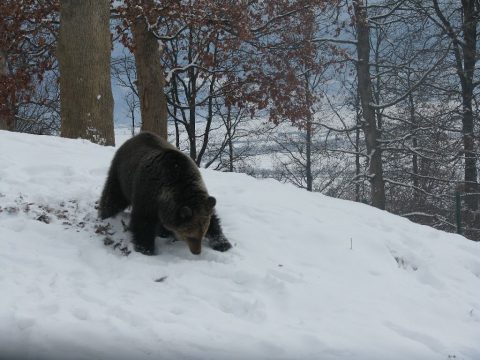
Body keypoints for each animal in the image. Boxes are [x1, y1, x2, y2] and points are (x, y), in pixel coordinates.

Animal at [96, 133, 232, 256]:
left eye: (202, 233)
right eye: (190, 235)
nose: (197, 252)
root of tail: (133, 138)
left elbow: (213, 219)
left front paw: (222, 243)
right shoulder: (147, 195)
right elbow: (142, 223)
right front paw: (146, 249)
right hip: (121, 176)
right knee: (113, 197)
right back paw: (105, 215)